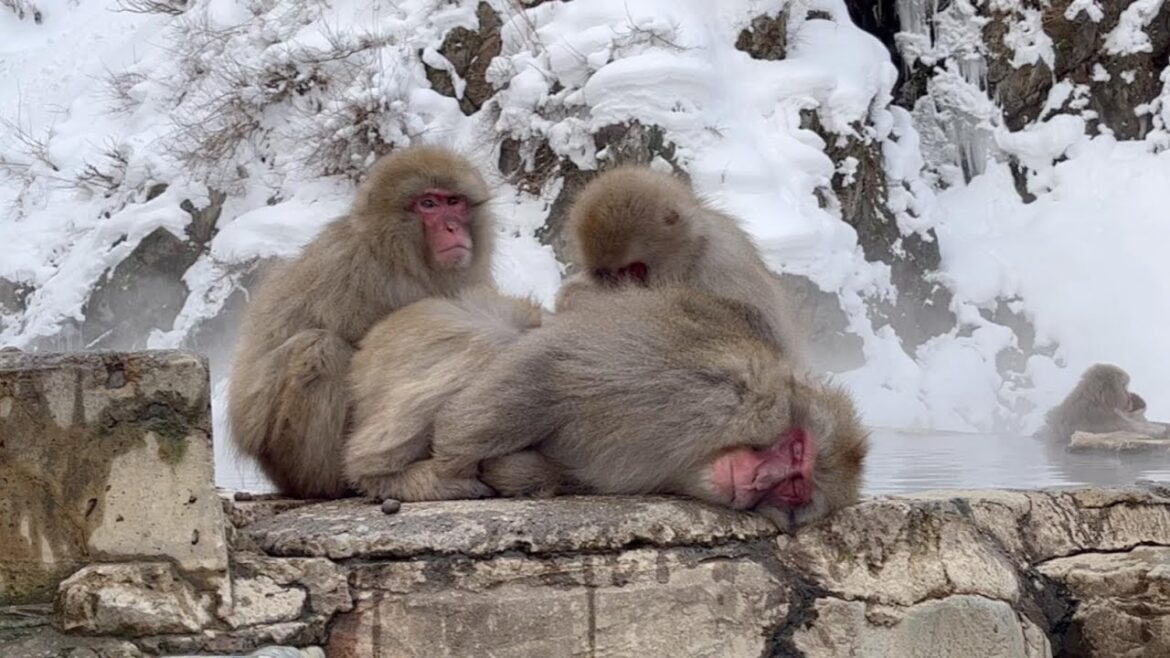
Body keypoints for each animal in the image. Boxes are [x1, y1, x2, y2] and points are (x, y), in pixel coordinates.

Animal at [228, 145, 496, 499]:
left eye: (454, 202)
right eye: (428, 204)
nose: (452, 227)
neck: (401, 259)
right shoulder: (353, 273)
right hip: (281, 454)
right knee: (319, 349)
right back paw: (337, 483)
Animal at [428, 285, 869, 530]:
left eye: (793, 489)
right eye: (795, 449)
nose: (760, 480)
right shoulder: (703, 389)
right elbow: (547, 370)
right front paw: (450, 467)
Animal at [557, 165, 804, 363]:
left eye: (635, 271)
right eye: (607, 276)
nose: (620, 288)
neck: (691, 256)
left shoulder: (721, 263)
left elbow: (757, 324)